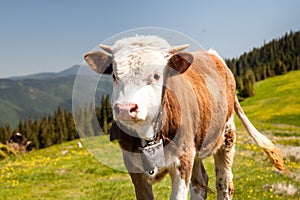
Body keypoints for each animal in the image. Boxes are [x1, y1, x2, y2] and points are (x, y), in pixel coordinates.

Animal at [84, 35, 286, 199]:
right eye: (114, 75)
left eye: (156, 75)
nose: (125, 109)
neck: (149, 137)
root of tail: (212, 55)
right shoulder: (135, 169)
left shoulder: (183, 160)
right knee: (201, 181)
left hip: (227, 136)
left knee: (224, 184)